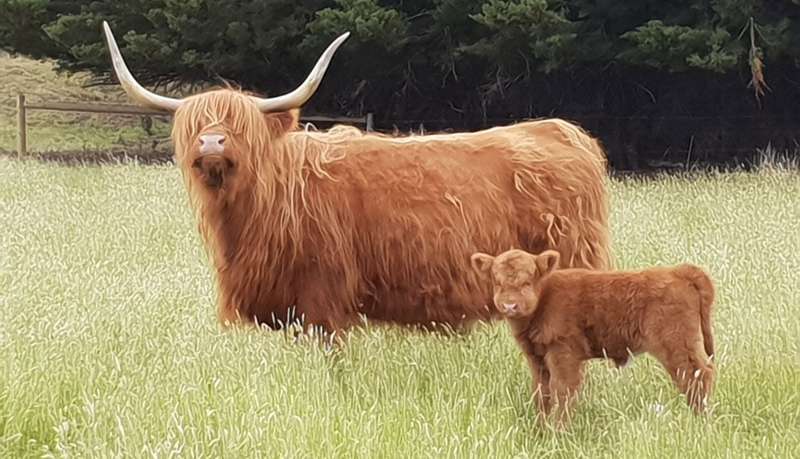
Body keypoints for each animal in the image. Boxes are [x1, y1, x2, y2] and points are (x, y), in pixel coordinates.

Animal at [471, 248, 716, 428]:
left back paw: (700, 422)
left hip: (677, 345)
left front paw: (559, 432)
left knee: (696, 375)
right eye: (497, 282)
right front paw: (540, 430)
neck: (544, 300)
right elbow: (542, 393)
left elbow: (563, 391)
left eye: (527, 282)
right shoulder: (537, 358)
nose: (510, 305)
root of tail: (678, 271)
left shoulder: (564, 354)